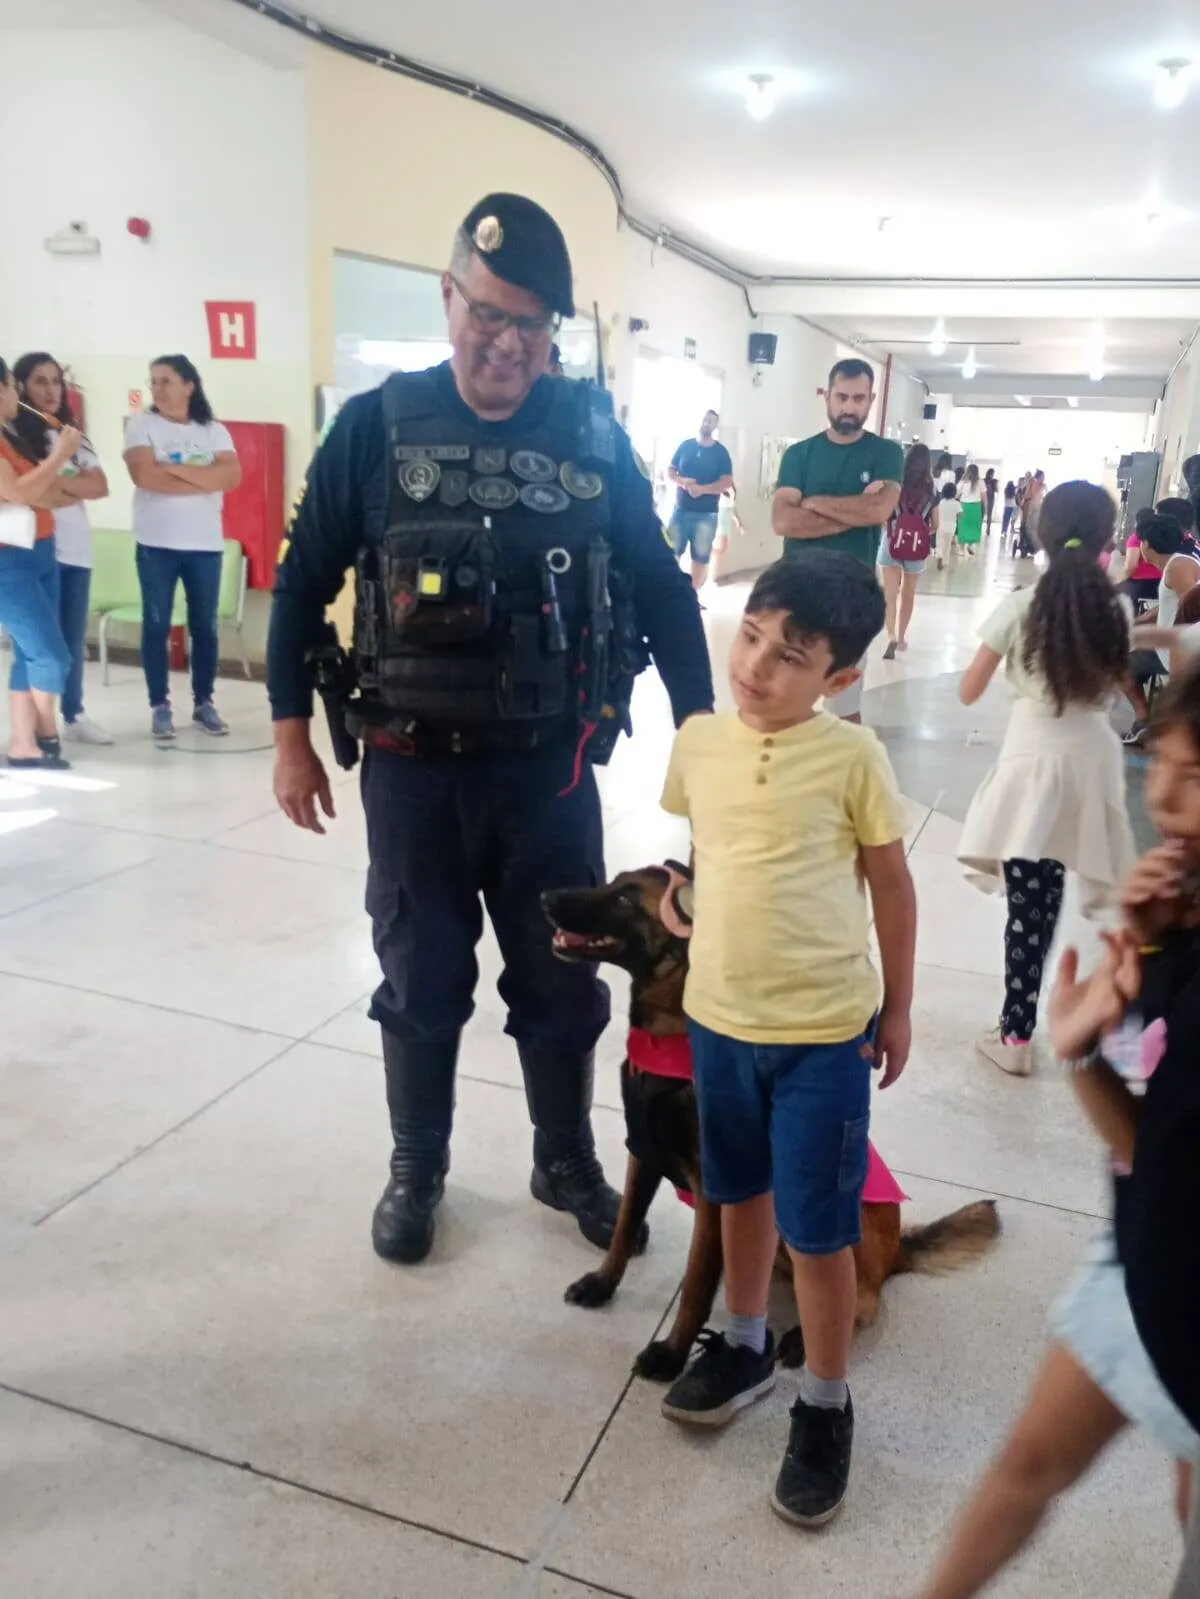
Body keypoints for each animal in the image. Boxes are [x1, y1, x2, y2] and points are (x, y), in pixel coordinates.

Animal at [543, 865, 1001, 1382]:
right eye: (613, 882)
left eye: (624, 899)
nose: (545, 898)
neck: (670, 1033)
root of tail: (894, 1252)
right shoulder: (643, 1154)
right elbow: (624, 1228)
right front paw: (603, 1283)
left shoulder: (714, 1193)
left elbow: (696, 1284)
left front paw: (672, 1355)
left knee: (862, 1300)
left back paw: (806, 1334)